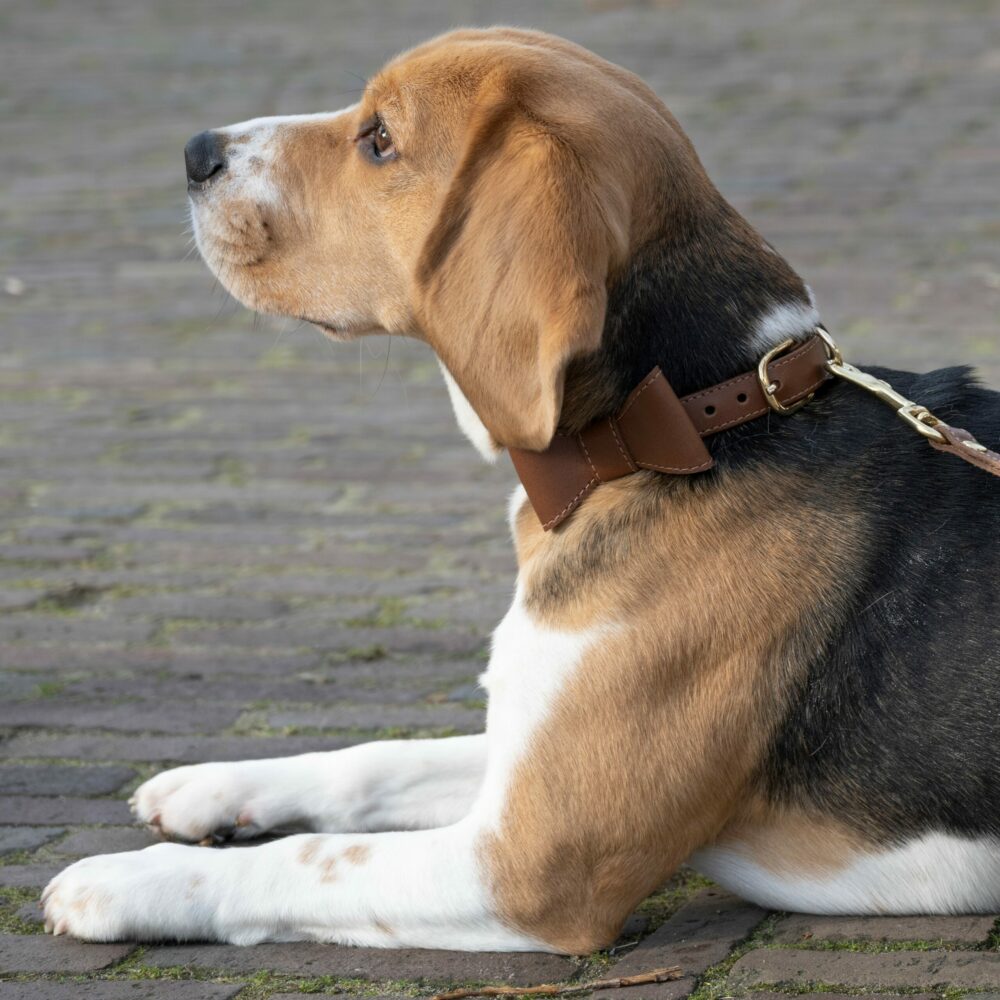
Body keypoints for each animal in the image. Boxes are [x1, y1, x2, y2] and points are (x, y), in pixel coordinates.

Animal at [43, 29, 1000, 952]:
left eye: (380, 139)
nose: (196, 151)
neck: (691, 419)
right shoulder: (521, 749)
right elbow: (376, 757)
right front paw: (211, 785)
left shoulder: (530, 864)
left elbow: (310, 856)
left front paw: (124, 881)